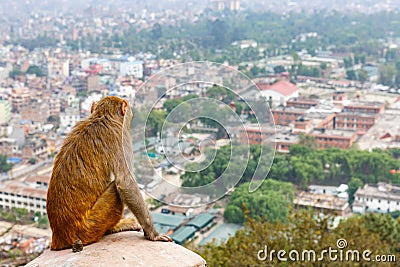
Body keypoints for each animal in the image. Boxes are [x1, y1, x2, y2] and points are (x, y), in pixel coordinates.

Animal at [47, 96, 172, 251]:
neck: (102, 116)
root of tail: (58, 239)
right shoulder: (121, 137)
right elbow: (125, 182)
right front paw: (153, 234)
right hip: (89, 227)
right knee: (115, 190)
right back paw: (113, 228)